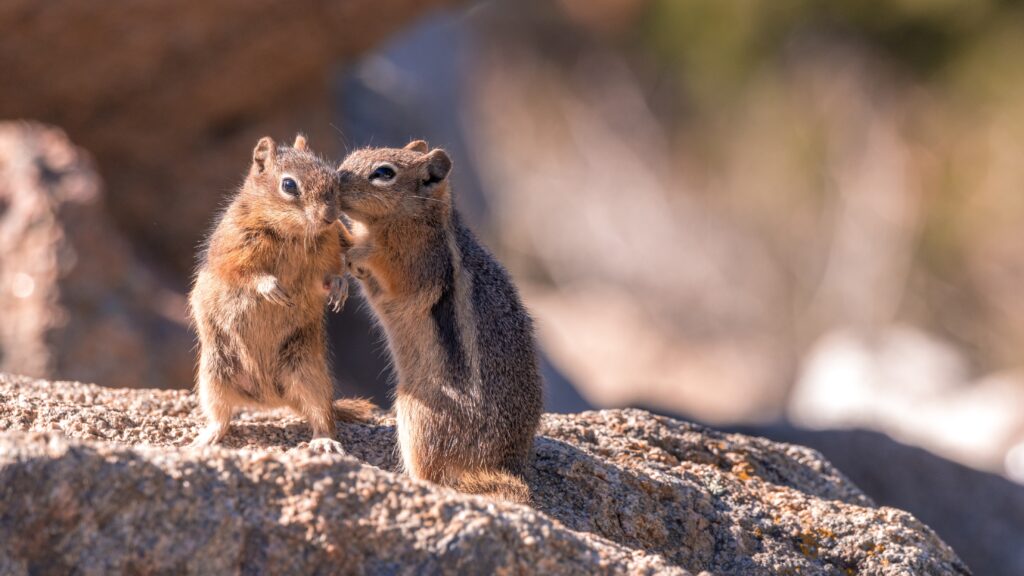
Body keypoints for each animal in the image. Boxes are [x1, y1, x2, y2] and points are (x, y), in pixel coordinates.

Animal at [188, 135, 372, 453]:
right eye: (288, 185)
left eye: (335, 180)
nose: (331, 217)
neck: (293, 233)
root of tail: (272, 400)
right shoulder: (234, 249)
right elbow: (244, 273)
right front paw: (270, 287)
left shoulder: (329, 251)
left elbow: (329, 276)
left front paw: (339, 287)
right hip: (214, 376)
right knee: (220, 416)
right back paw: (207, 437)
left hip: (309, 374)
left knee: (322, 415)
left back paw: (324, 441)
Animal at [335, 140, 544, 502]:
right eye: (351, 157)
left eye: (384, 173)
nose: (334, 180)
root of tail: (501, 464)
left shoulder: (414, 262)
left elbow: (384, 266)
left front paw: (350, 246)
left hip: (417, 413)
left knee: (433, 475)